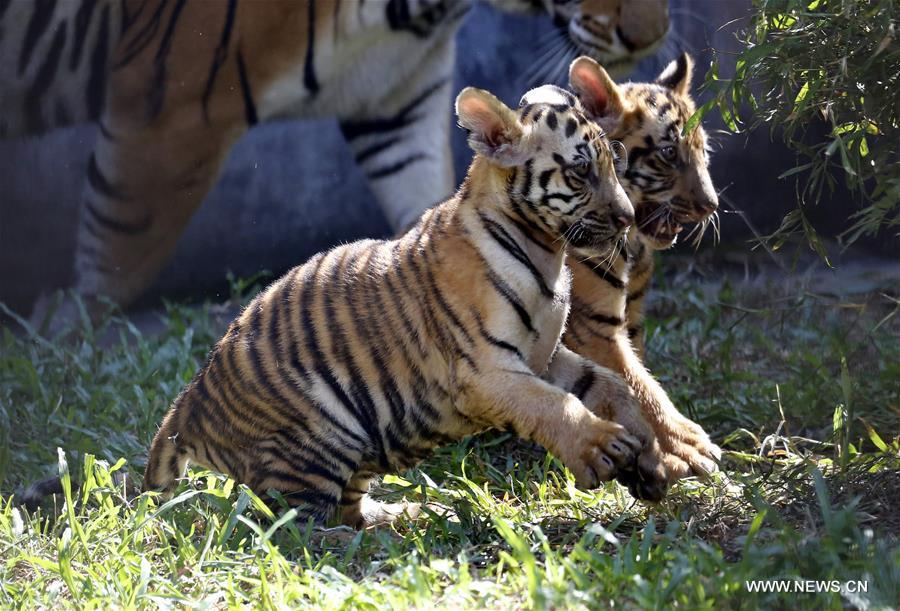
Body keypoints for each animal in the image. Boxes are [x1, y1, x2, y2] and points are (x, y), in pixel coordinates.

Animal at [0, 0, 670, 320]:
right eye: (579, 171)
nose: (654, 34)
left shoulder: (400, 95)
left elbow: (422, 200)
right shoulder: (171, 100)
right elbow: (117, 241)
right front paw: (70, 327)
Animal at [138, 81, 672, 529]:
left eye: (615, 162)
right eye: (581, 171)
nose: (628, 218)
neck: (548, 254)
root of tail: (188, 403)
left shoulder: (546, 354)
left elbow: (608, 385)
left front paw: (648, 458)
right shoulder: (486, 370)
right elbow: (553, 405)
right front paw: (603, 449)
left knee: (349, 510)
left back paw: (414, 513)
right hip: (320, 437)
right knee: (299, 528)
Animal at [562, 52, 722, 487]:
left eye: (703, 151)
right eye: (668, 154)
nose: (712, 205)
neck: (634, 247)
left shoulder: (631, 321)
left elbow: (642, 382)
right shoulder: (597, 329)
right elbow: (642, 388)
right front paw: (691, 446)